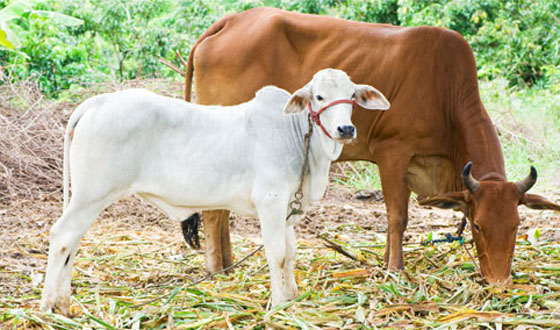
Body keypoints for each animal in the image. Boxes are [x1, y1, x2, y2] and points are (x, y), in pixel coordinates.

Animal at [39, 68, 392, 314]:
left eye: (352, 96)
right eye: (319, 97)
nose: (345, 129)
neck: (298, 137)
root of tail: (97, 102)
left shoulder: (288, 208)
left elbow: (290, 253)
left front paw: (291, 298)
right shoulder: (270, 200)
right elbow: (277, 254)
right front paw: (278, 305)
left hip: (88, 199)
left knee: (73, 242)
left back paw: (64, 305)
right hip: (92, 194)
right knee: (61, 237)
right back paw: (46, 308)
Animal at [184, 5, 560, 284]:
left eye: (517, 225)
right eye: (478, 225)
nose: (499, 282)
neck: (445, 93)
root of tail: (230, 21)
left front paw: (385, 263)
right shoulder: (393, 153)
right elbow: (398, 217)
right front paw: (395, 270)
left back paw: (229, 265)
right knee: (213, 211)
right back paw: (217, 271)